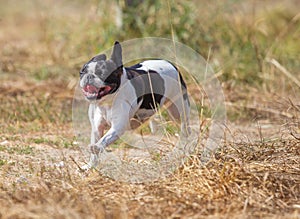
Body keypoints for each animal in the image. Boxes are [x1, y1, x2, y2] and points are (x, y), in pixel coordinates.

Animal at [79, 42, 191, 170]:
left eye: (102, 73)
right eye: (82, 72)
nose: (89, 76)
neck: (107, 101)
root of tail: (171, 64)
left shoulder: (118, 127)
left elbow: (103, 140)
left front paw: (97, 147)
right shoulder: (97, 128)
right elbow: (96, 148)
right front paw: (90, 166)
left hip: (178, 110)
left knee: (185, 127)